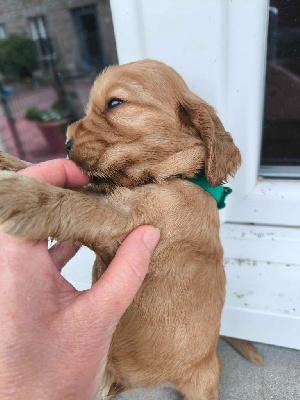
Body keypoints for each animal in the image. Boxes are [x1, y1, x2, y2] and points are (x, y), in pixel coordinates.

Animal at [0, 60, 262, 400]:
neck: (170, 177)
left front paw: (18, 194)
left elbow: (72, 202)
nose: (66, 145)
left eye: (114, 103)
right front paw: (8, 162)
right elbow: (64, 184)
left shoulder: (125, 222)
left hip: (203, 381)